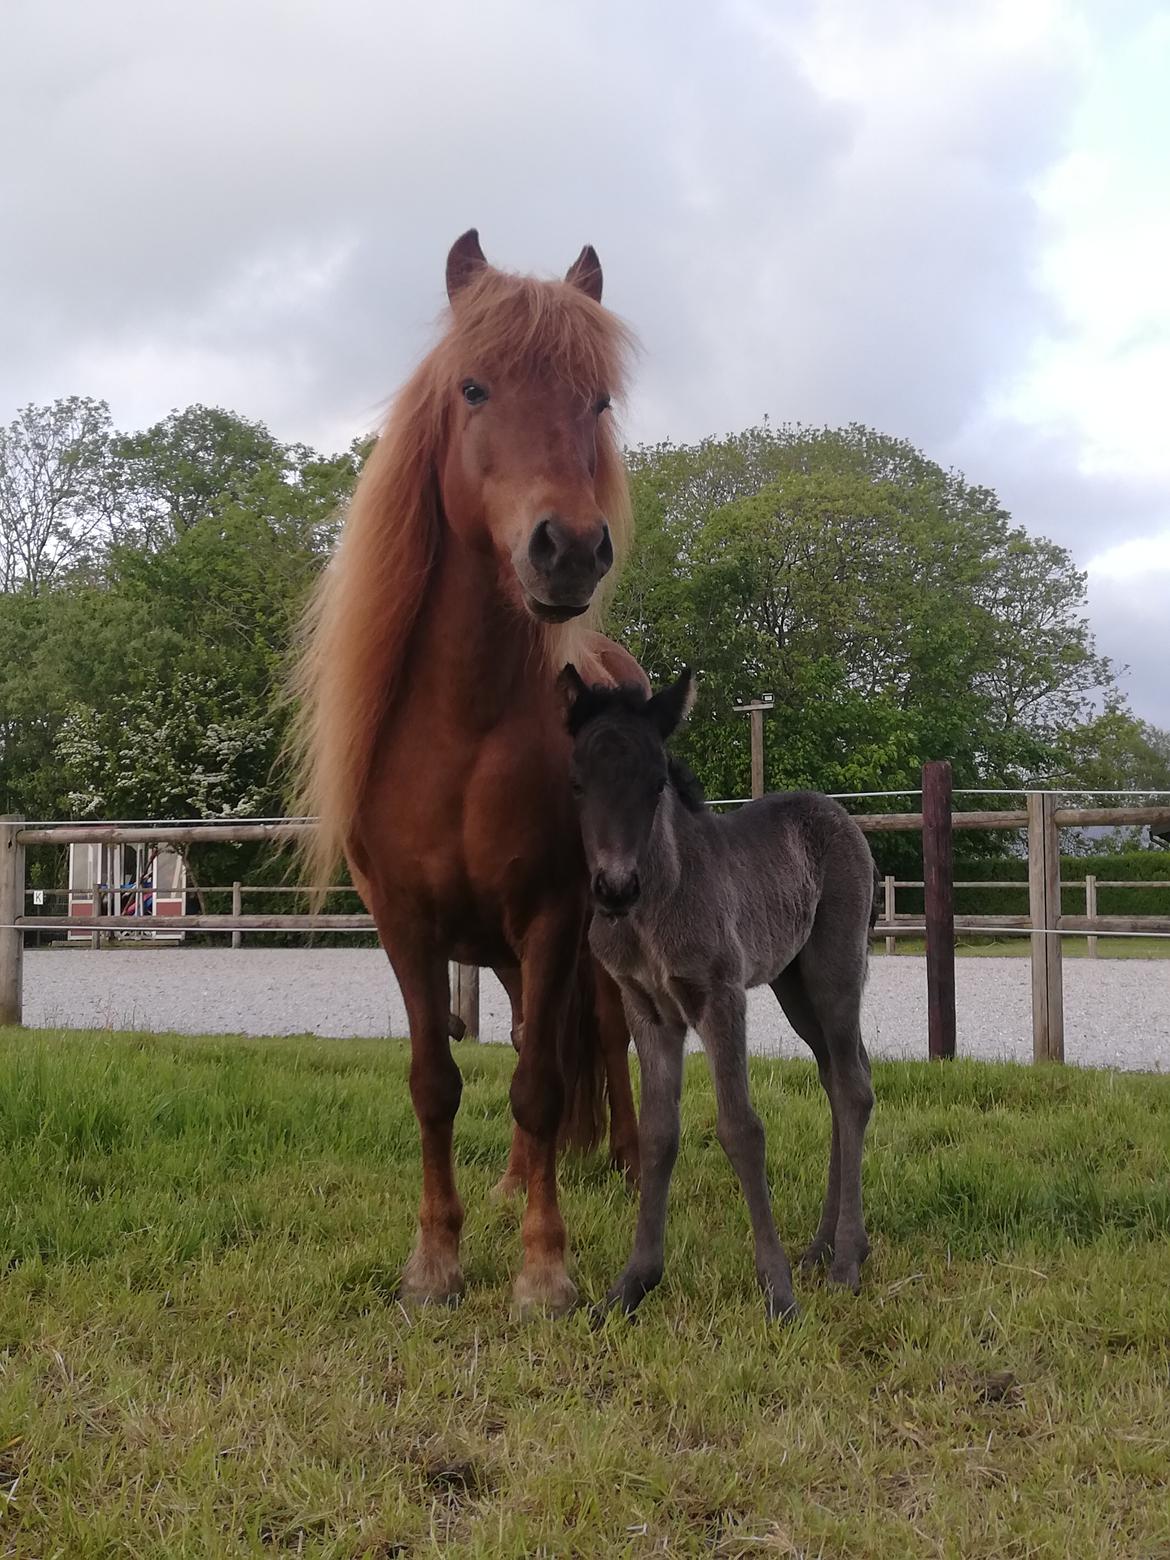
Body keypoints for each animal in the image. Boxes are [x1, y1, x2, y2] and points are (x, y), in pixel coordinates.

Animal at [291, 226, 642, 1310]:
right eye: (475, 388)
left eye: (597, 401)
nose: (569, 549)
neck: (462, 728)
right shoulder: (403, 922)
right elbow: (435, 1084)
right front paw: (437, 1261)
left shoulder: (555, 915)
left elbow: (539, 1082)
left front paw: (544, 1271)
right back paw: (517, 1181)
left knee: (607, 1036)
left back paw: (624, 1162)